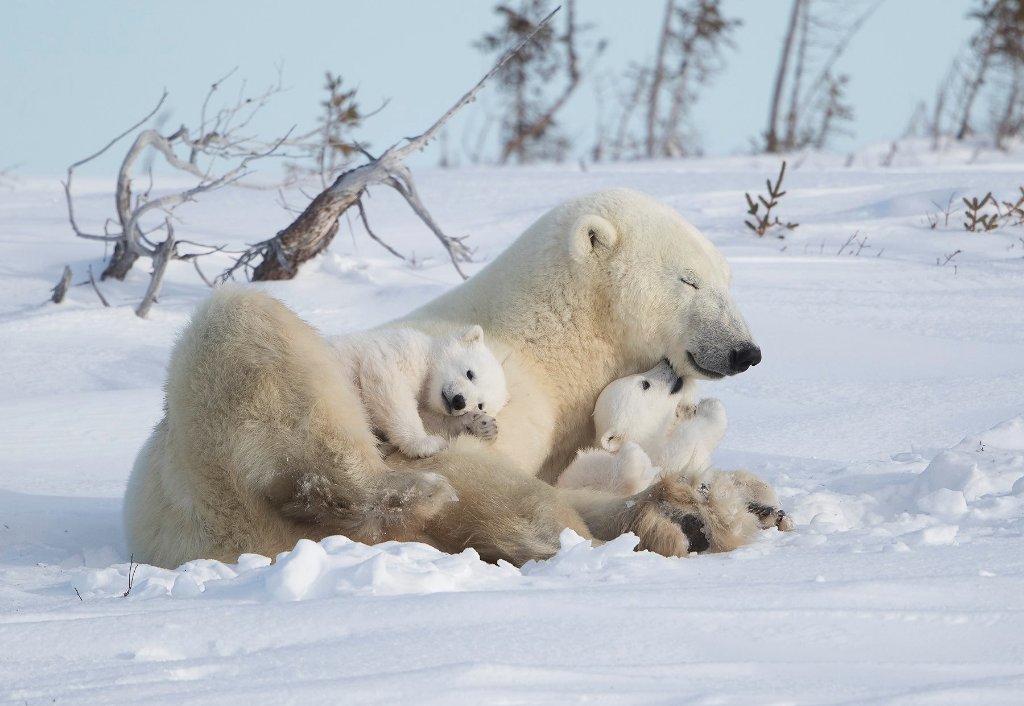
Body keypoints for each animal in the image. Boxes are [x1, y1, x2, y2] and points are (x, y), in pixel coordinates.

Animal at [123, 187, 761, 565]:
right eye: (689, 280)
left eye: (728, 278)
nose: (746, 351)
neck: (549, 335)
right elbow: (488, 470)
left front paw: (709, 505)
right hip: (210, 452)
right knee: (246, 331)